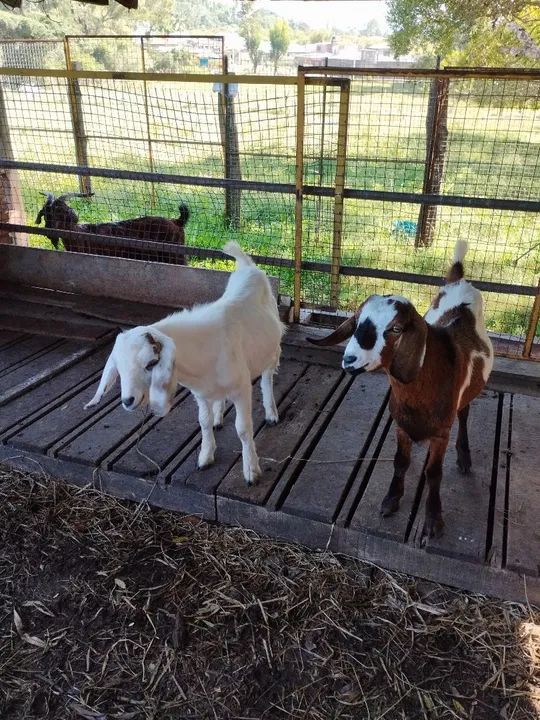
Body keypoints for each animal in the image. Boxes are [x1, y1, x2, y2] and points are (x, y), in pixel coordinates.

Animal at [35, 192, 189, 264]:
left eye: (60, 213)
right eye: (45, 215)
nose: (49, 230)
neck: (80, 234)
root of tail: (177, 221)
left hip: (176, 257)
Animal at [85, 242, 285, 485]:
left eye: (151, 363)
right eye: (119, 370)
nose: (128, 400)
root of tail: (247, 265)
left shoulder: (241, 388)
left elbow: (244, 429)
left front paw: (251, 470)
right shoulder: (199, 393)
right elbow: (203, 422)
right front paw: (205, 456)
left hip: (272, 350)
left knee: (267, 379)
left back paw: (271, 413)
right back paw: (219, 416)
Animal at [308, 241, 494, 541]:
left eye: (396, 328)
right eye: (357, 323)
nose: (349, 360)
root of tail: (459, 280)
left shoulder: (441, 433)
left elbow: (434, 473)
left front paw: (433, 520)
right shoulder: (401, 426)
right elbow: (400, 461)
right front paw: (391, 500)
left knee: (464, 413)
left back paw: (464, 458)